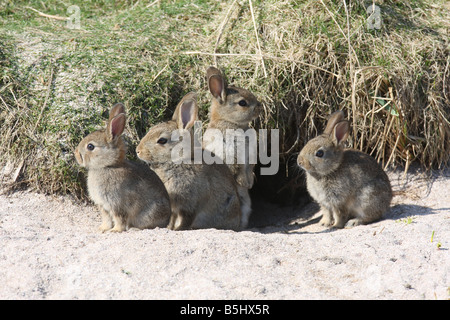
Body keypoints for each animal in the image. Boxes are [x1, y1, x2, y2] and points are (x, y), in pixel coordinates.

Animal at [135, 92, 243, 230]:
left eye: (162, 140)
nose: (138, 151)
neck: (178, 161)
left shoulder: (191, 204)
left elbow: (186, 219)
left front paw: (178, 229)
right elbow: (173, 218)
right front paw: (170, 228)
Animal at [203, 66, 262, 229]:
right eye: (242, 103)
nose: (260, 108)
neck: (230, 122)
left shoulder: (250, 157)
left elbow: (249, 168)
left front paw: (250, 183)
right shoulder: (229, 153)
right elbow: (237, 170)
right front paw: (244, 183)